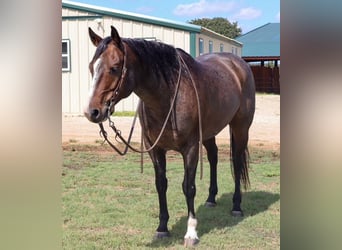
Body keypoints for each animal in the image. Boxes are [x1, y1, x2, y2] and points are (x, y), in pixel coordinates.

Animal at [83, 25, 254, 246]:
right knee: (214, 157)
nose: (92, 112)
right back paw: (210, 199)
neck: (170, 95)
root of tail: (238, 64)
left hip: (240, 127)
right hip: (209, 132)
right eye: (91, 67)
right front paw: (162, 228)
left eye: (114, 67)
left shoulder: (190, 148)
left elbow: (188, 187)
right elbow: (161, 184)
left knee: (238, 162)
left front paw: (191, 233)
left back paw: (236, 206)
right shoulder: (155, 149)